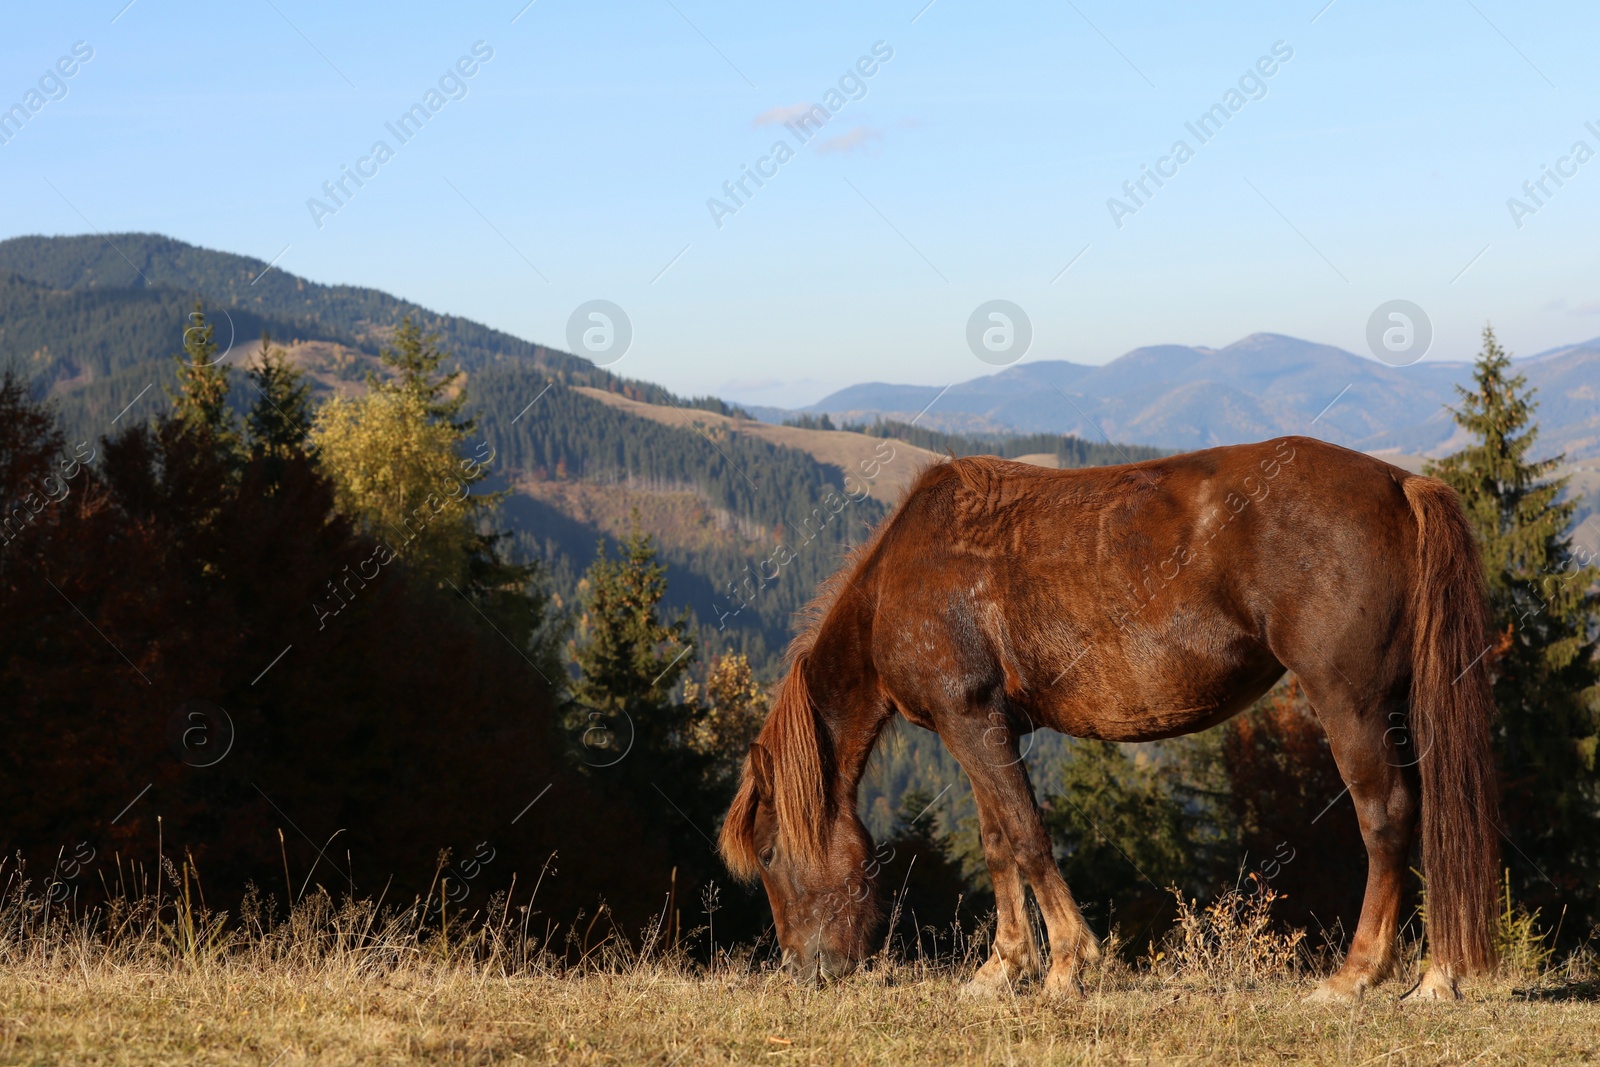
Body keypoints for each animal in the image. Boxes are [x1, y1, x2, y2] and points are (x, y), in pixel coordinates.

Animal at [723, 435, 1497, 1004]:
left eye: (770, 852)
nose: (806, 969)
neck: (902, 578)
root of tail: (1399, 483)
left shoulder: (970, 721)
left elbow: (1029, 838)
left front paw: (1068, 965)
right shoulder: (976, 727)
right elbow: (998, 841)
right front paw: (1002, 969)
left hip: (1348, 700)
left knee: (1387, 815)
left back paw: (1358, 976)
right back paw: (1437, 975)